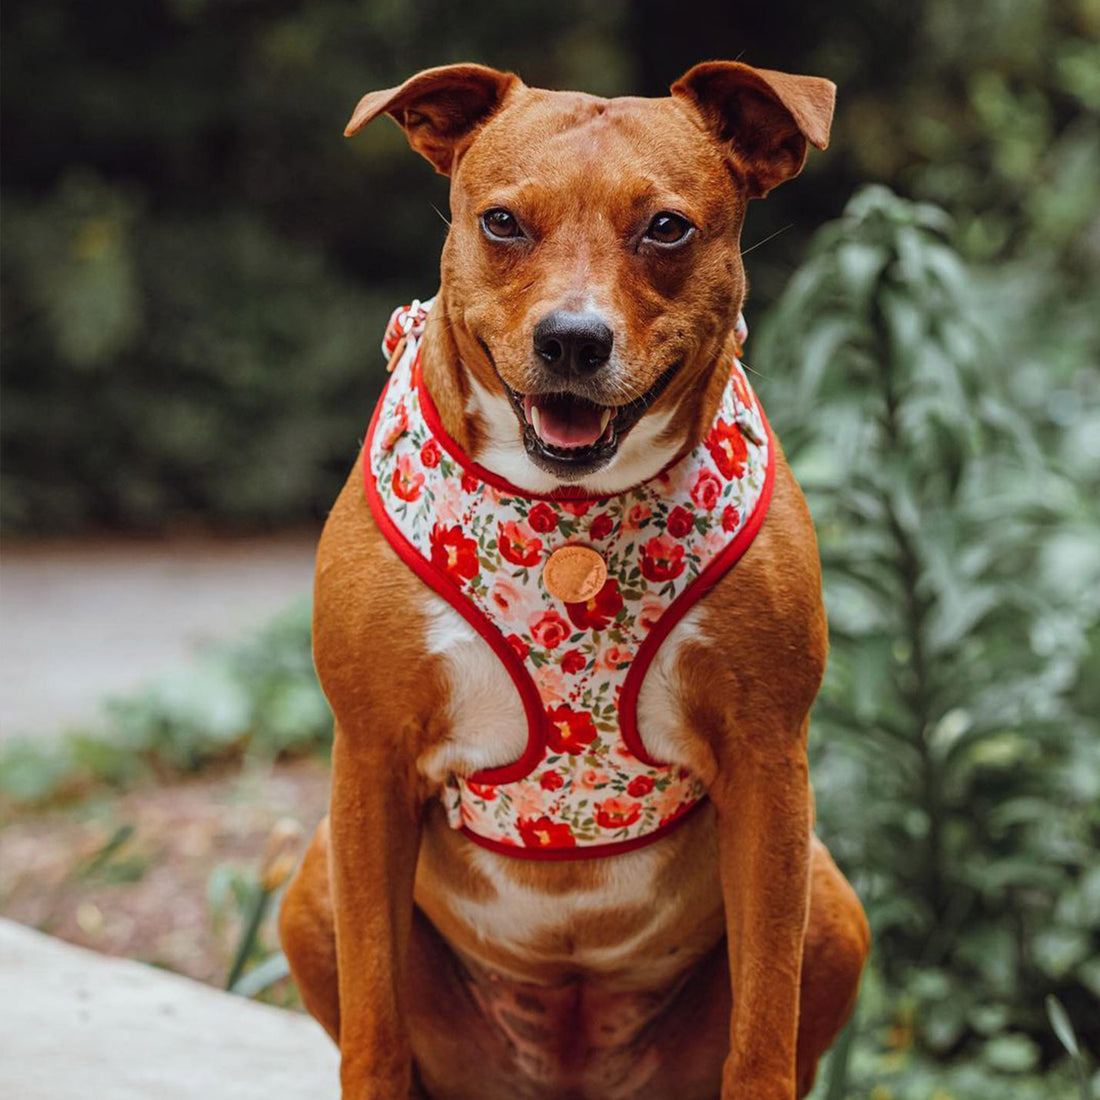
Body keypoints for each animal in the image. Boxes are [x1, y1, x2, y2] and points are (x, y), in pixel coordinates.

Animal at [281, 62, 866, 1100]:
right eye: (503, 222)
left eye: (666, 227)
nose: (572, 340)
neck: (568, 517)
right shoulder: (372, 761)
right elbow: (373, 1028)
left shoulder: (769, 769)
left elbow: (764, 1026)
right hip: (313, 880)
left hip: (830, 898)